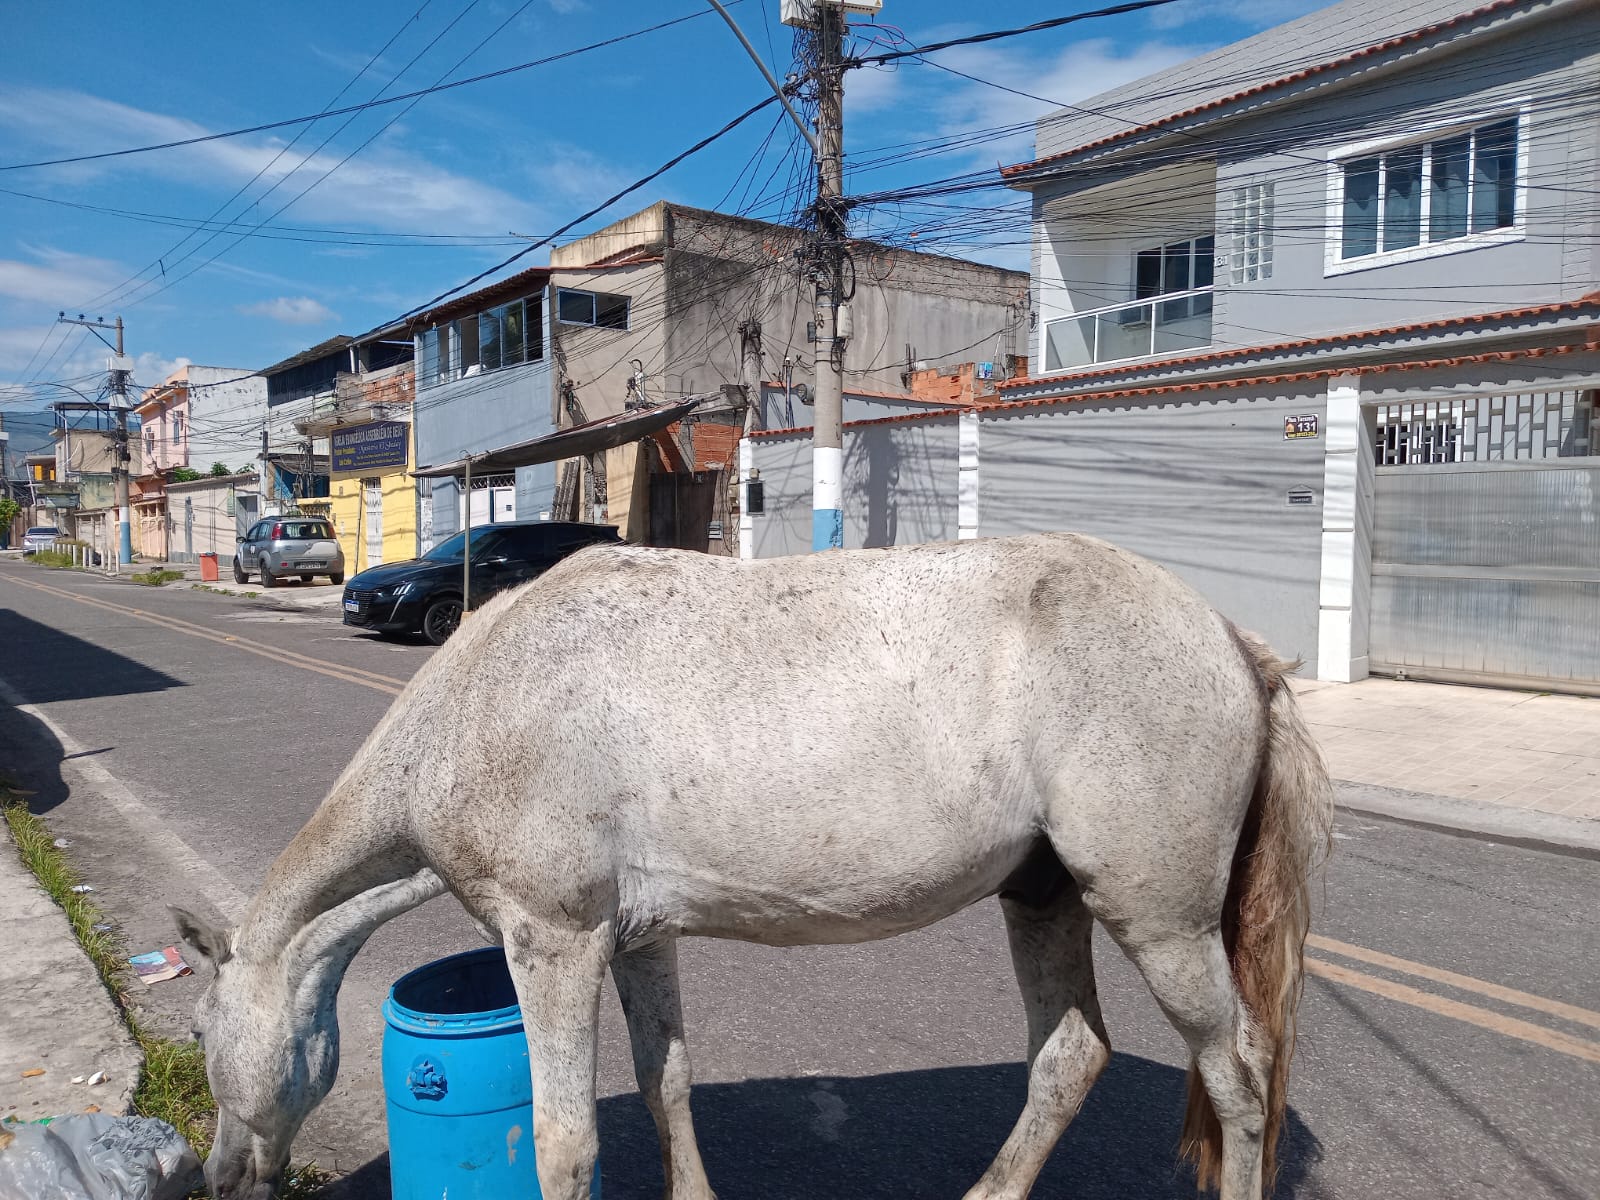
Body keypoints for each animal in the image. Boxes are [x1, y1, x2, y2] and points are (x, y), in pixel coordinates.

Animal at [172, 532, 1332, 1200]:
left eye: (201, 1033)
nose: (222, 1179)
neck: (482, 702)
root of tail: (1231, 641)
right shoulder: (635, 942)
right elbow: (665, 1084)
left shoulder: (553, 944)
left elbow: (563, 1144)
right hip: (1042, 899)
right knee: (1069, 1059)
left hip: (1160, 923)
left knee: (1239, 1074)